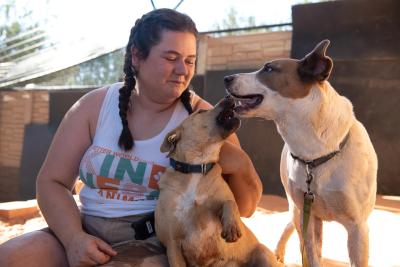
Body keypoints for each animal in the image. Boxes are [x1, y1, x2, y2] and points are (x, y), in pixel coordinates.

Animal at [155, 97, 280, 266]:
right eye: (201, 111)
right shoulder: (172, 244)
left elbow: (230, 202)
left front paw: (231, 225)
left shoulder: (221, 204)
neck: (196, 168)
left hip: (263, 253)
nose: (228, 97)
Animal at [225, 40, 378, 267]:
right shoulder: (308, 219)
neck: (316, 154)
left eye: (269, 69)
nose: (226, 78)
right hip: (299, 211)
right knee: (292, 225)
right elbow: (311, 256)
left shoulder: (358, 227)